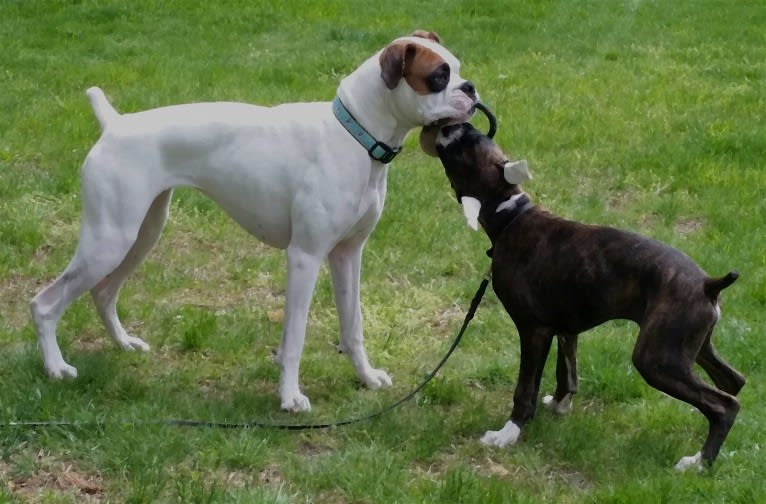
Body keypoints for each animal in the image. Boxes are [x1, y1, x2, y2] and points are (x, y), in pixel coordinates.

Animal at [31, 29, 480, 412]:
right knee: (45, 304)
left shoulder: (347, 255)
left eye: (458, 68)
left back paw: (124, 344)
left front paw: (366, 378)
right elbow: (295, 336)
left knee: (104, 293)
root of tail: (115, 123)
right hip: (109, 242)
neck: (353, 134)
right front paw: (290, 397)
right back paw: (56, 368)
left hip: (140, 235)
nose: (470, 88)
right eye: (438, 77)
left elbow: (353, 326)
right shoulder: (305, 257)